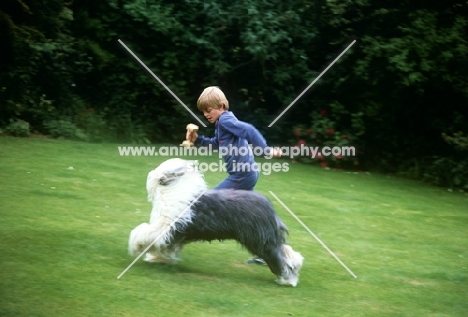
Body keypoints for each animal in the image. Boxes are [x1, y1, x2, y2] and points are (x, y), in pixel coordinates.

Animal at [128, 157, 304, 286]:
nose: (152, 174)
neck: (175, 188)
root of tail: (269, 207)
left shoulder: (166, 227)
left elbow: (142, 232)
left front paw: (135, 247)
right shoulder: (173, 234)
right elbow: (165, 246)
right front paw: (158, 258)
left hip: (260, 241)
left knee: (279, 258)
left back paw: (287, 279)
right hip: (265, 237)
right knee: (288, 252)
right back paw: (295, 267)